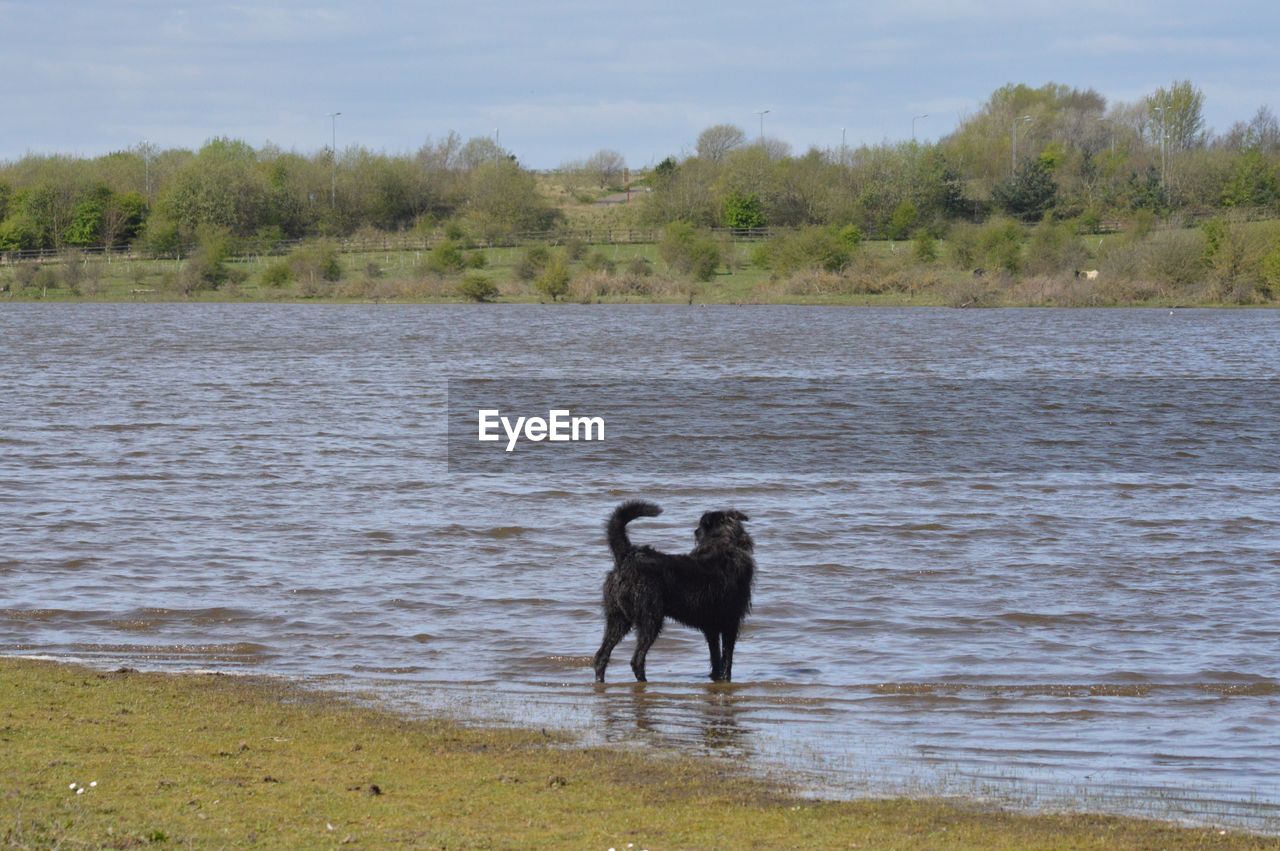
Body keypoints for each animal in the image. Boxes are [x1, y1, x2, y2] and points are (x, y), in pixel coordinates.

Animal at [593, 501, 752, 680]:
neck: (721, 543)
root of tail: (627, 556)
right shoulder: (730, 622)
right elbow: (727, 659)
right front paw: (725, 678)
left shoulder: (711, 627)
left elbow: (715, 656)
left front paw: (715, 678)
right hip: (650, 619)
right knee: (637, 660)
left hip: (617, 619)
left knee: (601, 656)